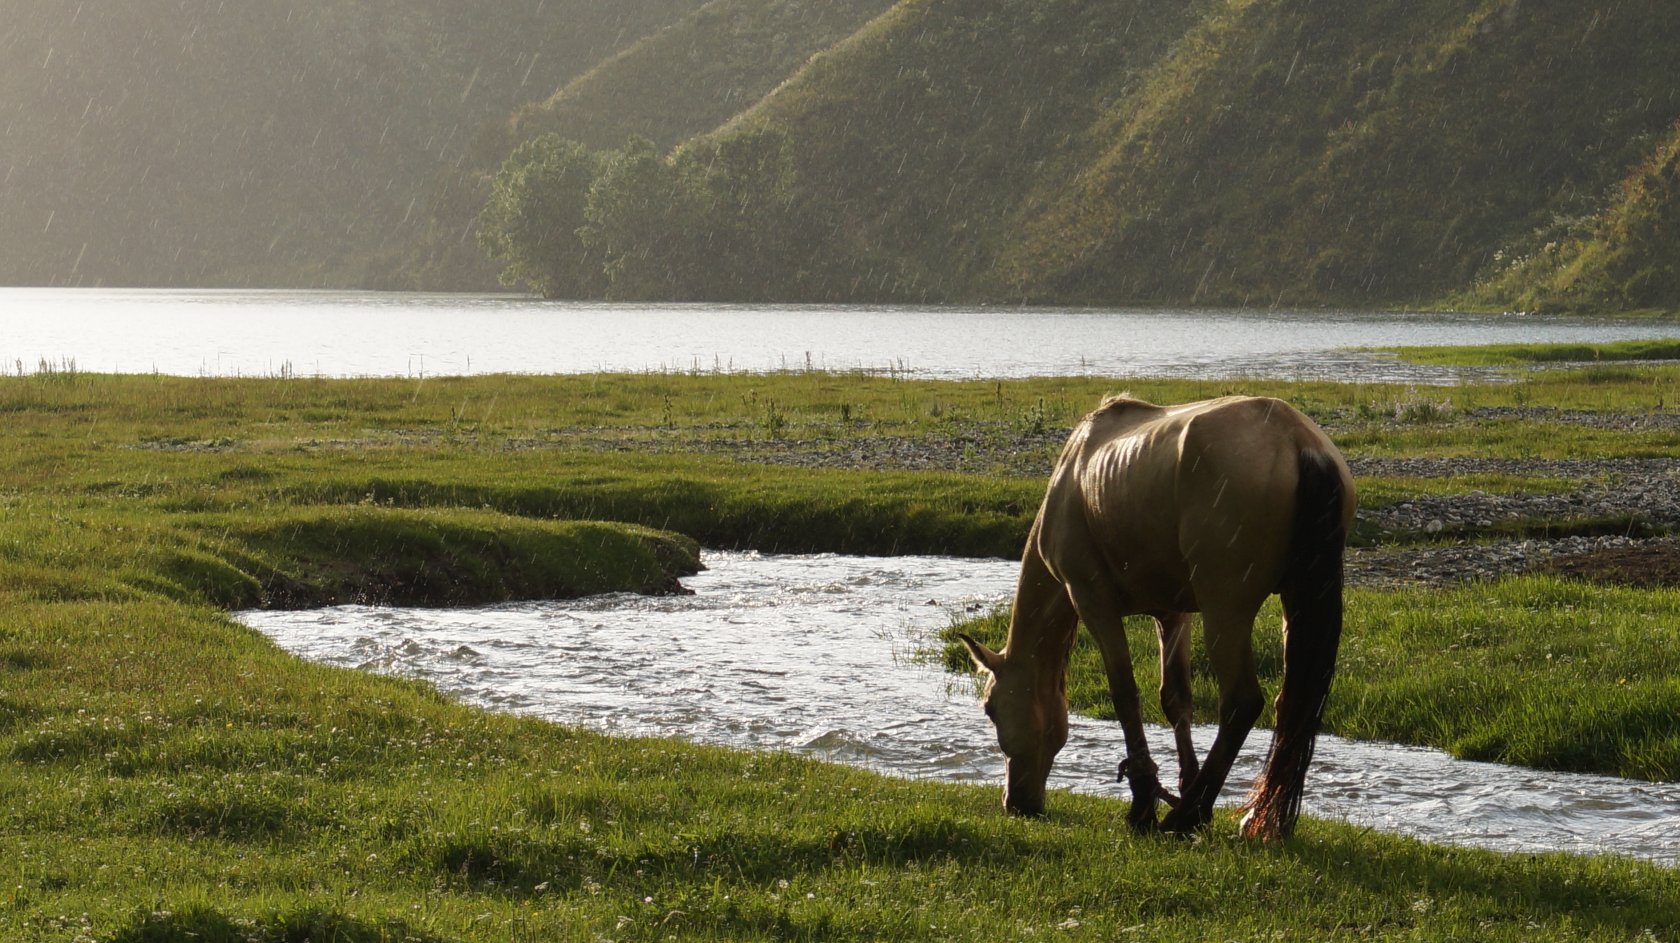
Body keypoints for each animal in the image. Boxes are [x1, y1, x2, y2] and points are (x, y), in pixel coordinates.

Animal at [960, 393, 1350, 833]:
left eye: (991, 709)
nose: (1016, 802)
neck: (1075, 474)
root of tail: (1295, 438)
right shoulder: (1173, 614)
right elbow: (1175, 699)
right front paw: (1180, 783)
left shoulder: (1092, 601)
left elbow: (1125, 694)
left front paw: (1144, 802)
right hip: (1293, 602)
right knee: (1291, 706)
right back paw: (1257, 819)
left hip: (1226, 610)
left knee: (1242, 703)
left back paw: (1188, 814)